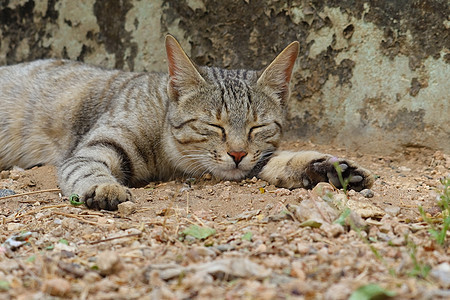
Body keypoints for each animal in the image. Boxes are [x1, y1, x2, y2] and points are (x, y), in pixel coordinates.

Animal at [0, 35, 372, 210]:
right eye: (214, 126)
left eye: (257, 127)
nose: (237, 154)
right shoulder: (91, 148)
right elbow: (87, 168)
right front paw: (104, 187)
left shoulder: (254, 159)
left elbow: (278, 160)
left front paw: (329, 168)